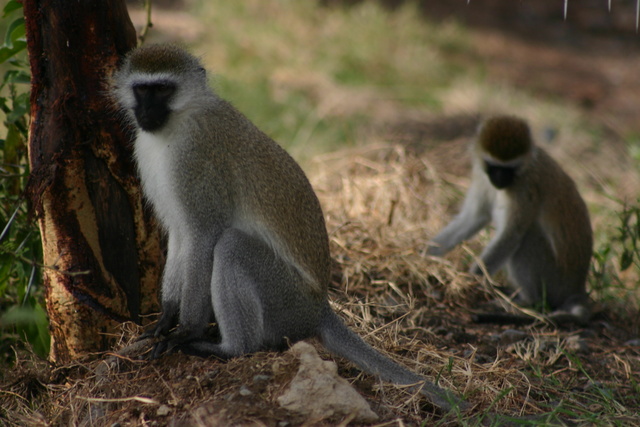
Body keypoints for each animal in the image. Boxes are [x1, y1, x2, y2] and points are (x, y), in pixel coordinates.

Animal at [111, 43, 464, 412]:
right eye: (142, 90)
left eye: (163, 90)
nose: (146, 111)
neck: (175, 126)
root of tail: (319, 308)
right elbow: (181, 236)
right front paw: (166, 317)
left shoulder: (196, 161)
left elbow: (203, 237)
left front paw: (186, 330)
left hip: (286, 300)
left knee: (232, 245)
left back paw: (232, 349)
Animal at [428, 114, 592, 324]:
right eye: (493, 167)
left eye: (509, 169)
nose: (499, 179)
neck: (525, 168)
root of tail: (578, 288)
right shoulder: (482, 175)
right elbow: (473, 217)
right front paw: (424, 256)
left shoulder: (527, 187)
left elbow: (512, 233)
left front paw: (470, 280)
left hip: (554, 281)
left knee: (527, 237)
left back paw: (526, 300)